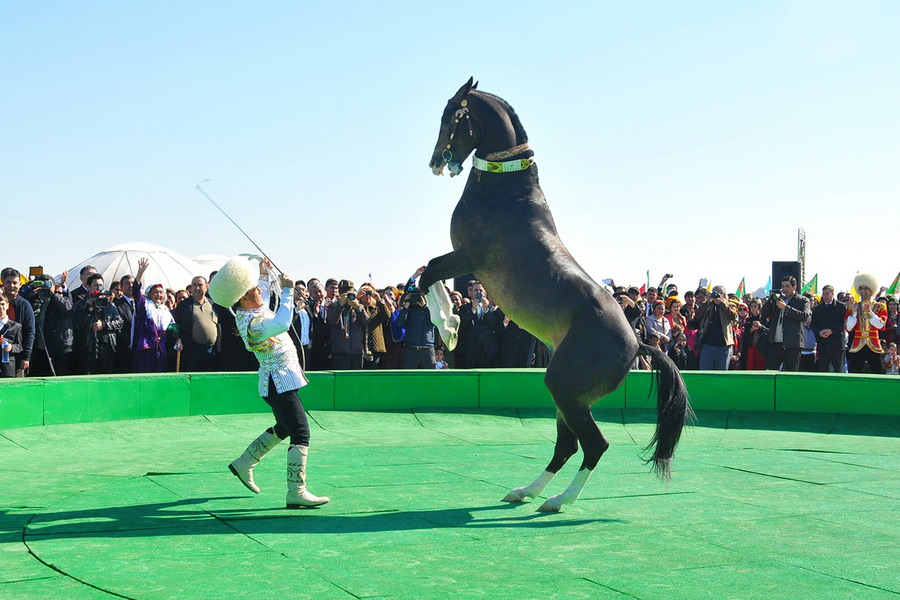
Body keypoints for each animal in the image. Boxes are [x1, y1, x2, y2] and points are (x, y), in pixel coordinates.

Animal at [418, 78, 692, 510]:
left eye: (450, 117)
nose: (434, 162)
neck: (504, 193)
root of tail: (639, 344)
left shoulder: (470, 258)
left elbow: (426, 273)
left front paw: (449, 327)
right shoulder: (464, 261)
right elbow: (425, 272)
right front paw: (453, 323)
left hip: (564, 390)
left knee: (594, 445)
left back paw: (559, 500)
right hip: (568, 397)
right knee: (567, 446)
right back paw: (526, 492)